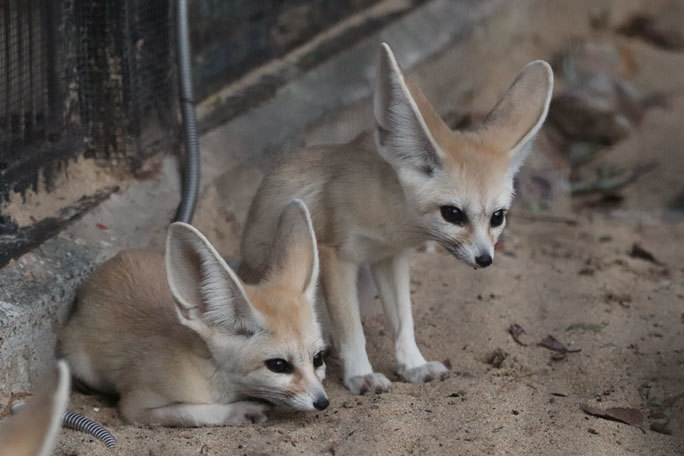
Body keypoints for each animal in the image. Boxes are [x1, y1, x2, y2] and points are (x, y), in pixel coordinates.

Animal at [60, 200, 328, 428]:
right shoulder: (135, 406)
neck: (211, 373)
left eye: (318, 358)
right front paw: (238, 410)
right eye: (279, 365)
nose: (323, 402)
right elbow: (191, 412)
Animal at [238, 44, 552, 398]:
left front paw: (414, 365)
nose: (485, 259)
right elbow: (352, 331)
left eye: (498, 217)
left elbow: (404, 322)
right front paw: (361, 374)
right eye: (452, 214)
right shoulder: (336, 255)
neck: (392, 221)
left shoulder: (390, 257)